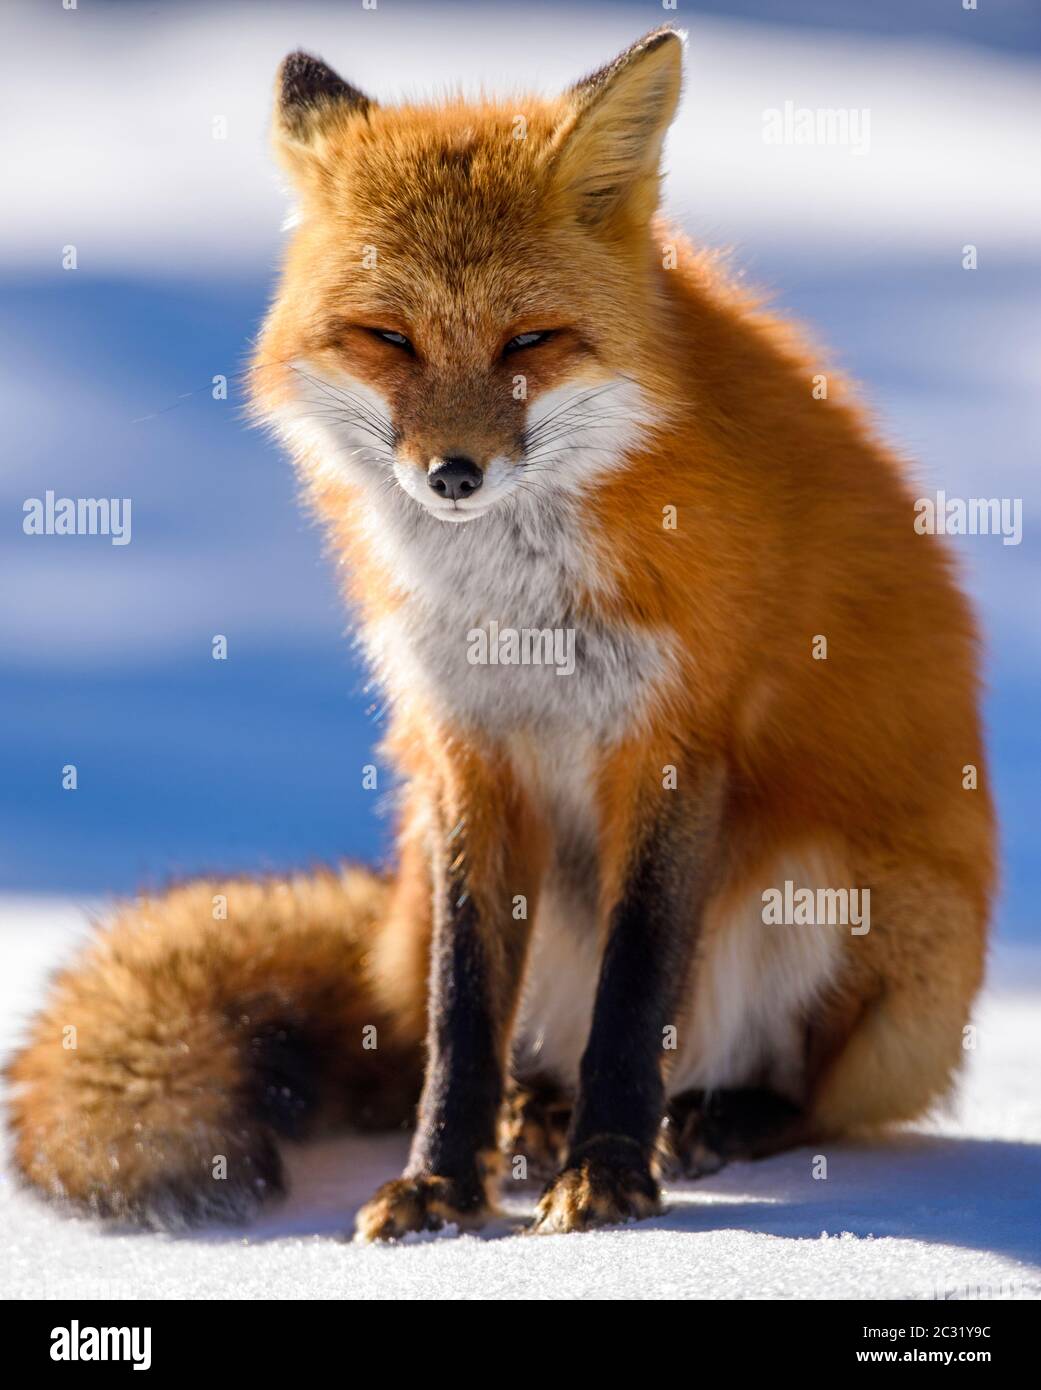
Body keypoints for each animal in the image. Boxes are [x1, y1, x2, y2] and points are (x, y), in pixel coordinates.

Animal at [7, 28, 995, 1240]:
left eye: (531, 339)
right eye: (389, 339)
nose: (453, 474)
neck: (514, 612)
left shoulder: (669, 746)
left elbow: (634, 995)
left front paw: (609, 1177)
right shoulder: (465, 751)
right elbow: (463, 1013)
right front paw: (442, 1184)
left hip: (857, 905)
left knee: (812, 1095)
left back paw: (716, 1116)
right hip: (419, 892)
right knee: (460, 1035)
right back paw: (535, 1116)